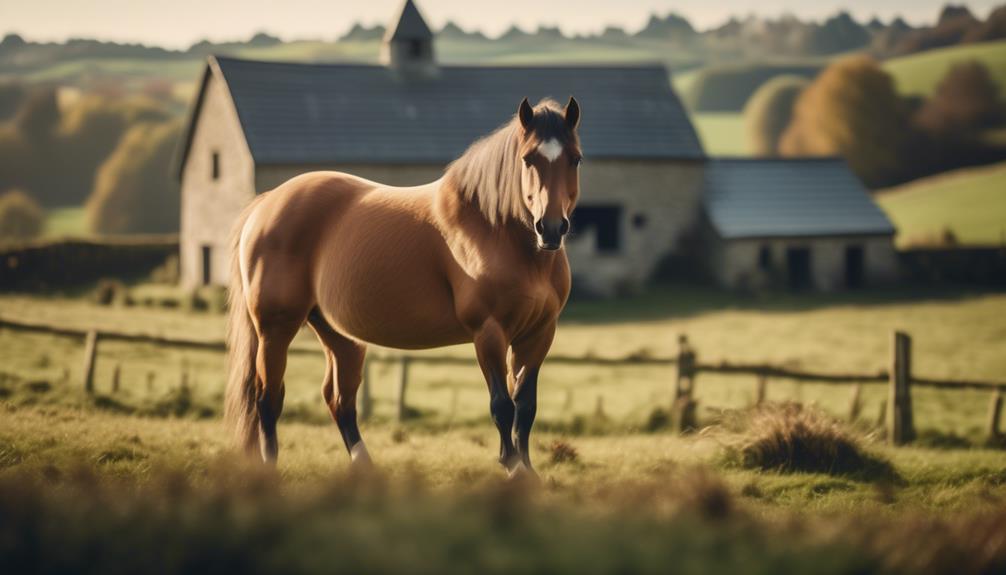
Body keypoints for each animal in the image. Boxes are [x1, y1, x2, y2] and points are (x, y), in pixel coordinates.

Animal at [223, 96, 579, 478]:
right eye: (528, 159)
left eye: (575, 158)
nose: (551, 228)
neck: (494, 228)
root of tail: (267, 203)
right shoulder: (489, 332)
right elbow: (502, 405)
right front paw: (514, 468)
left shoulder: (538, 334)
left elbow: (525, 406)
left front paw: (528, 470)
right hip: (275, 328)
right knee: (267, 397)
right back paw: (270, 469)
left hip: (339, 335)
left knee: (339, 399)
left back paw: (366, 468)